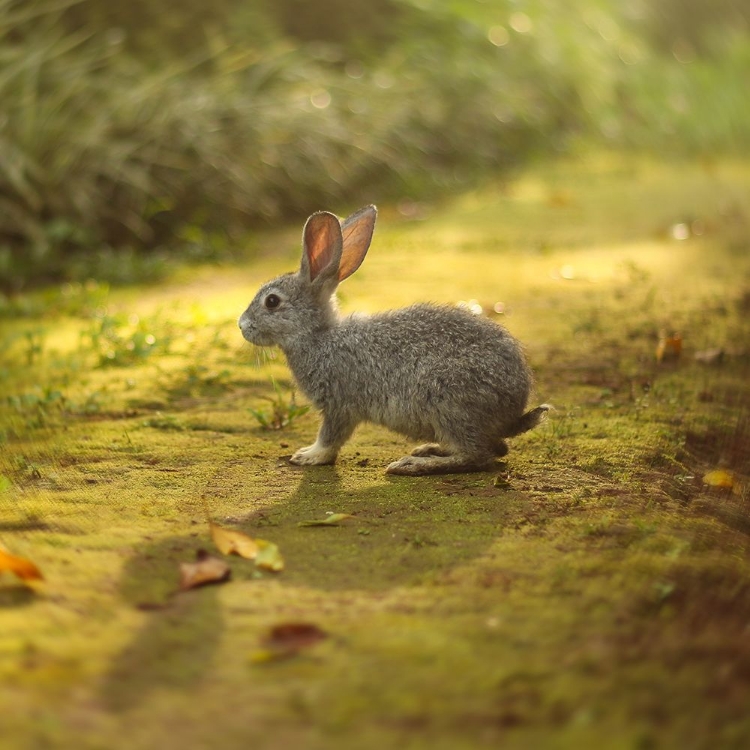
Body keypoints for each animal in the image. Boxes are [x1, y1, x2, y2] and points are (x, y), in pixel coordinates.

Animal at [238, 206, 548, 476]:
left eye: (272, 302)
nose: (242, 326)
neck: (318, 336)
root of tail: (514, 410)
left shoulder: (340, 403)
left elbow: (331, 437)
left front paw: (309, 456)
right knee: (496, 449)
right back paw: (429, 449)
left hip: (450, 403)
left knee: (479, 455)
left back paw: (414, 465)